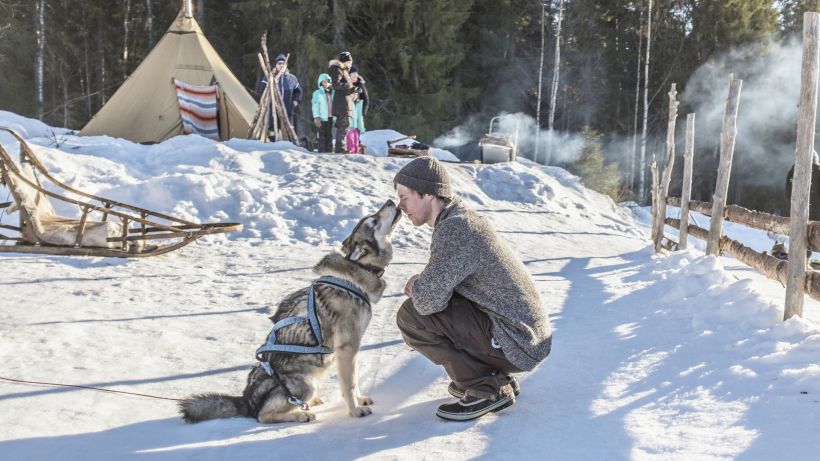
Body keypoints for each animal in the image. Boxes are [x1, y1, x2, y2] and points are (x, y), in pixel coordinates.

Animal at [179, 199, 400, 422]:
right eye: (373, 221)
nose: (391, 201)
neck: (356, 277)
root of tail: (247, 400)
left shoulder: (351, 350)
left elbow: (354, 381)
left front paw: (360, 400)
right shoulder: (348, 347)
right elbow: (349, 384)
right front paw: (355, 410)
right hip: (305, 384)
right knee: (263, 416)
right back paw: (302, 415)